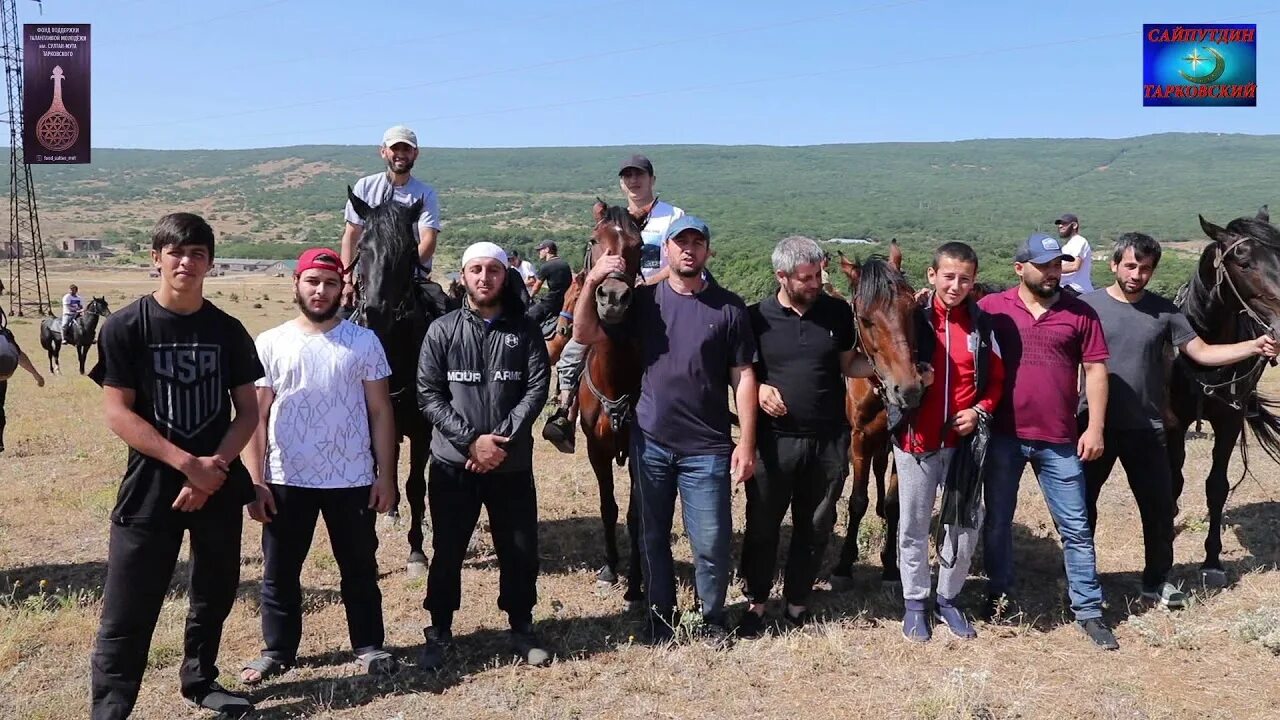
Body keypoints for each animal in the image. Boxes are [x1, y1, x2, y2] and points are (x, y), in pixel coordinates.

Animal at [345, 188, 445, 573]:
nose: (377, 312)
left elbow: (417, 486)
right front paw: (370, 550)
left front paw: (416, 552)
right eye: (363, 246)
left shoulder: (422, 430)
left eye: (409, 249)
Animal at [824, 240, 926, 584]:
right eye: (866, 319)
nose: (909, 389)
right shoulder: (859, 437)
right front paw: (844, 563)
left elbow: (896, 503)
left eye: (913, 309)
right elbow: (857, 500)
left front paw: (890, 564)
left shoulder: (897, 439)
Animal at [1167, 204, 1280, 586]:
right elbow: (1175, 478)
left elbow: (1216, 487)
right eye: (1242, 263)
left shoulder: (1230, 420)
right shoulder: (1174, 422)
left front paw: (1212, 559)